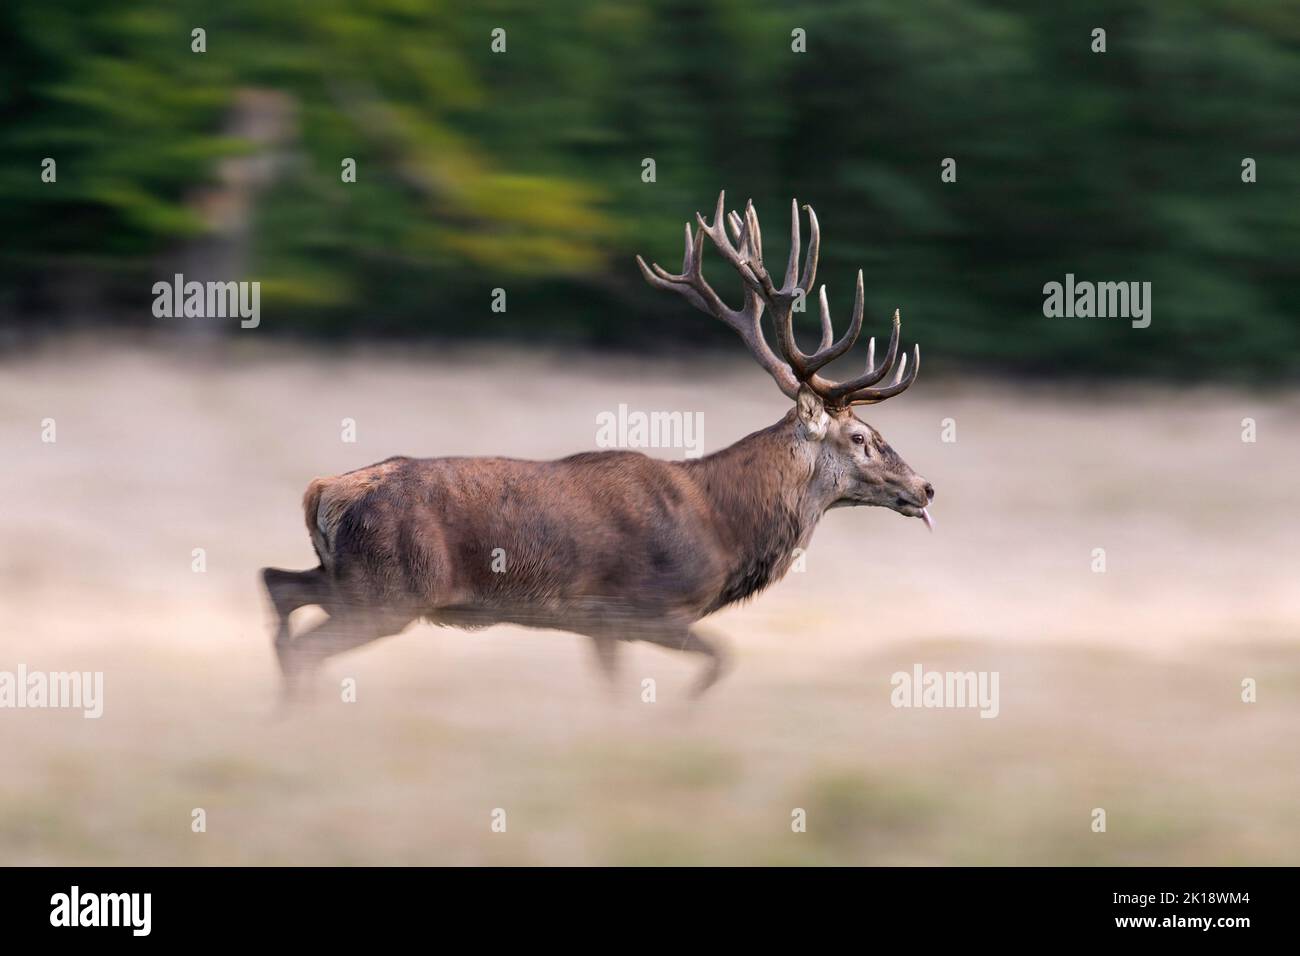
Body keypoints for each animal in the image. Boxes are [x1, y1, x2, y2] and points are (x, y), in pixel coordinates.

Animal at [261, 195, 935, 697]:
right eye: (861, 437)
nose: (925, 486)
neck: (722, 525)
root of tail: (323, 491)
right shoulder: (642, 608)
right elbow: (720, 661)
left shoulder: (599, 627)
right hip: (390, 590)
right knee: (305, 641)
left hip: (349, 578)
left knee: (278, 586)